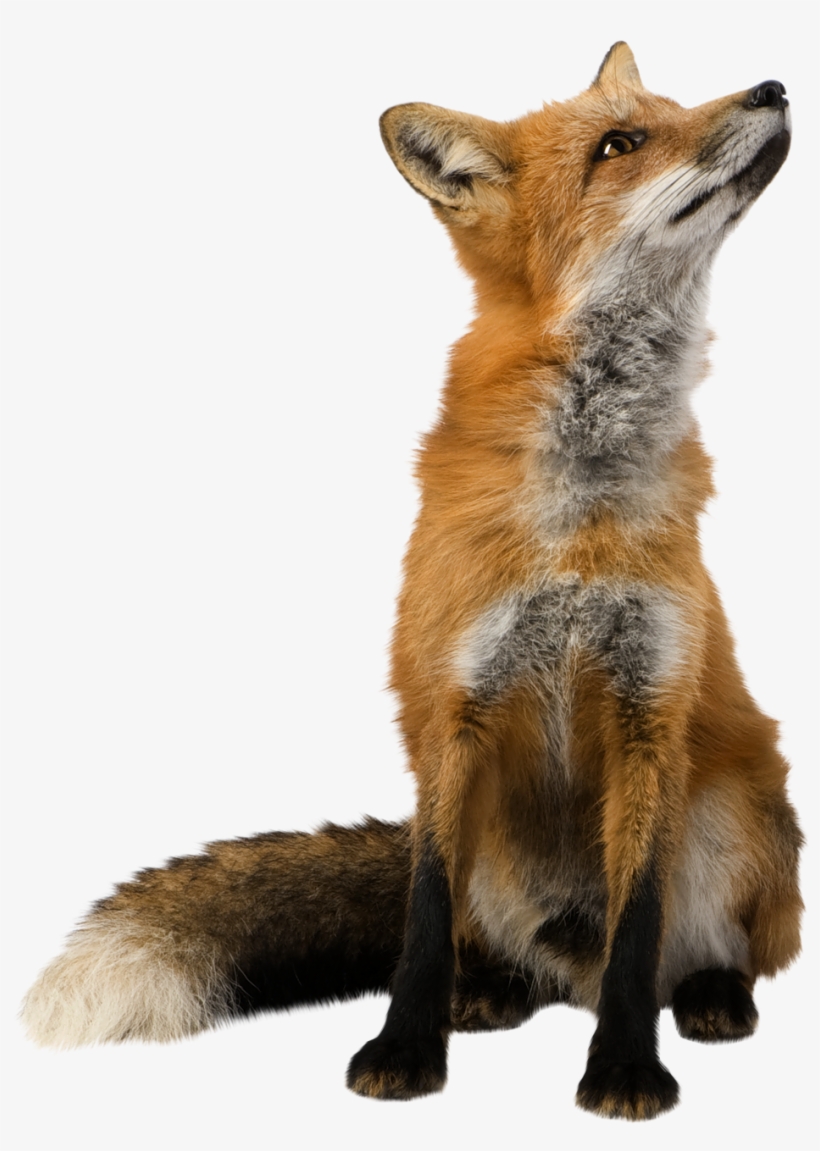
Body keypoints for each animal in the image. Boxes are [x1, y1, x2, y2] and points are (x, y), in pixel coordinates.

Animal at [22, 43, 802, 1121]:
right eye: (622, 142)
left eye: (672, 104)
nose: (773, 86)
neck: (577, 512)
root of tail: (564, 960)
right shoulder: (450, 708)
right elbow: (423, 917)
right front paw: (404, 1050)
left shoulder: (651, 706)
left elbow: (640, 920)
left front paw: (622, 1070)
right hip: (494, 849)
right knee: (491, 941)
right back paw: (491, 990)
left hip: (737, 813)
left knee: (692, 953)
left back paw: (709, 994)